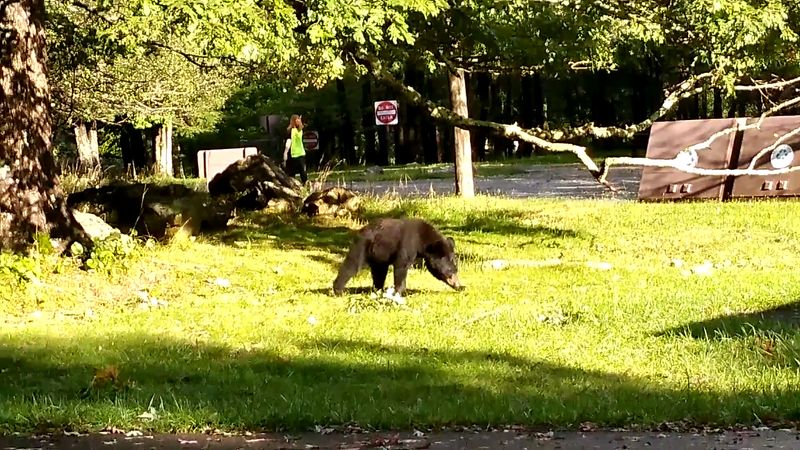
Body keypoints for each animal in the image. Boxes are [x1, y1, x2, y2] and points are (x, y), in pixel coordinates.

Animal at [332, 218, 462, 296]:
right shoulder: (407, 245)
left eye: (456, 269)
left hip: (379, 256)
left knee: (379, 272)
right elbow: (401, 267)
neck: (422, 242)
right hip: (363, 246)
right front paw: (400, 291)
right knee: (352, 265)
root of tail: (360, 231)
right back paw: (338, 290)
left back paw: (378, 290)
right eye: (451, 270)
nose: (458, 284)